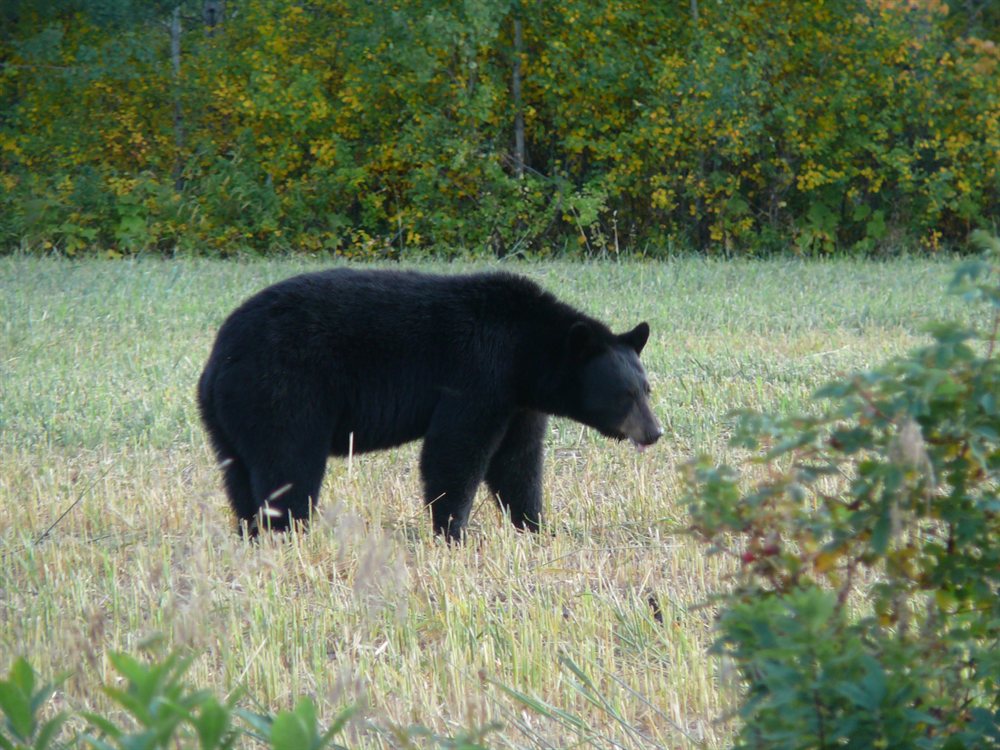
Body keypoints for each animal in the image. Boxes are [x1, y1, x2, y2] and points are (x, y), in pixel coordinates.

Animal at [197, 269, 662, 541]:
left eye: (646, 389)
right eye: (625, 394)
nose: (655, 432)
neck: (525, 350)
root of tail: (219, 360)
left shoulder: (518, 401)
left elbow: (518, 461)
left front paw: (536, 525)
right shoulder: (477, 375)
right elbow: (455, 451)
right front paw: (454, 531)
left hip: (231, 418)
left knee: (240, 475)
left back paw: (250, 532)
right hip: (282, 392)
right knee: (289, 465)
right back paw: (287, 533)